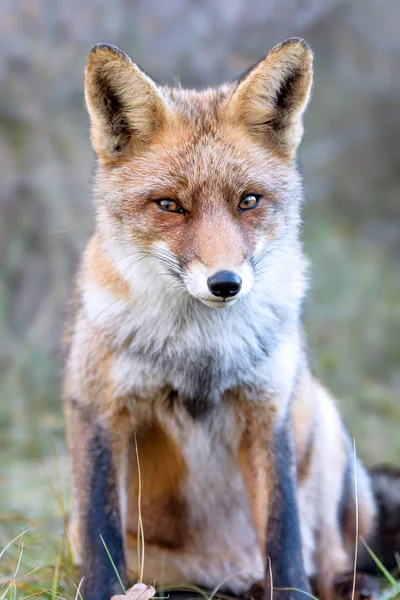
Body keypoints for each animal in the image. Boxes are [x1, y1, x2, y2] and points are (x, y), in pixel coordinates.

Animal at [63, 38, 396, 600]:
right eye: (169, 205)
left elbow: (284, 537)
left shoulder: (267, 412)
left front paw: (292, 593)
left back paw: (348, 584)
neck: (200, 351)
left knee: (326, 551)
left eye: (248, 201)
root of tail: (233, 570)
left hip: (322, 421)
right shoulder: (98, 410)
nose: (225, 283)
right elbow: (100, 537)